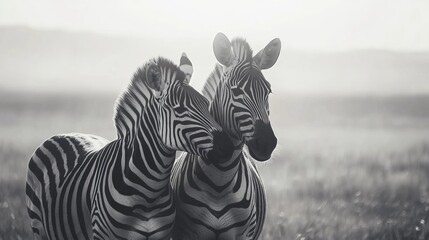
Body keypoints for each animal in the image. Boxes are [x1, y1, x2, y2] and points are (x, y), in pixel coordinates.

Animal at [25, 54, 234, 240]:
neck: (150, 192)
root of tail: (66, 134)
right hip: (38, 228)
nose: (227, 146)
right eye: (180, 110)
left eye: (206, 104)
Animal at [171, 32, 280, 239]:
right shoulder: (188, 233)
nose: (267, 143)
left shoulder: (244, 234)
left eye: (268, 91)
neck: (220, 181)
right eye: (236, 91)